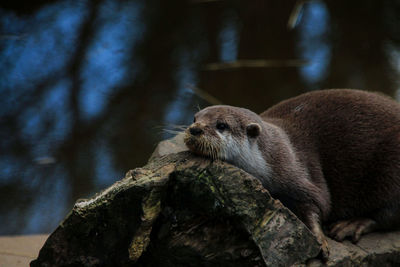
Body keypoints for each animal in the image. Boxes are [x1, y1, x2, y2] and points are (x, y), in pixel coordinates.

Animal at [184, 89, 400, 260]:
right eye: (194, 118)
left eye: (221, 125)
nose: (194, 129)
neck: (275, 155)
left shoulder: (299, 175)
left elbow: (318, 204)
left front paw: (319, 240)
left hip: (391, 171)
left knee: (388, 215)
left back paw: (352, 224)